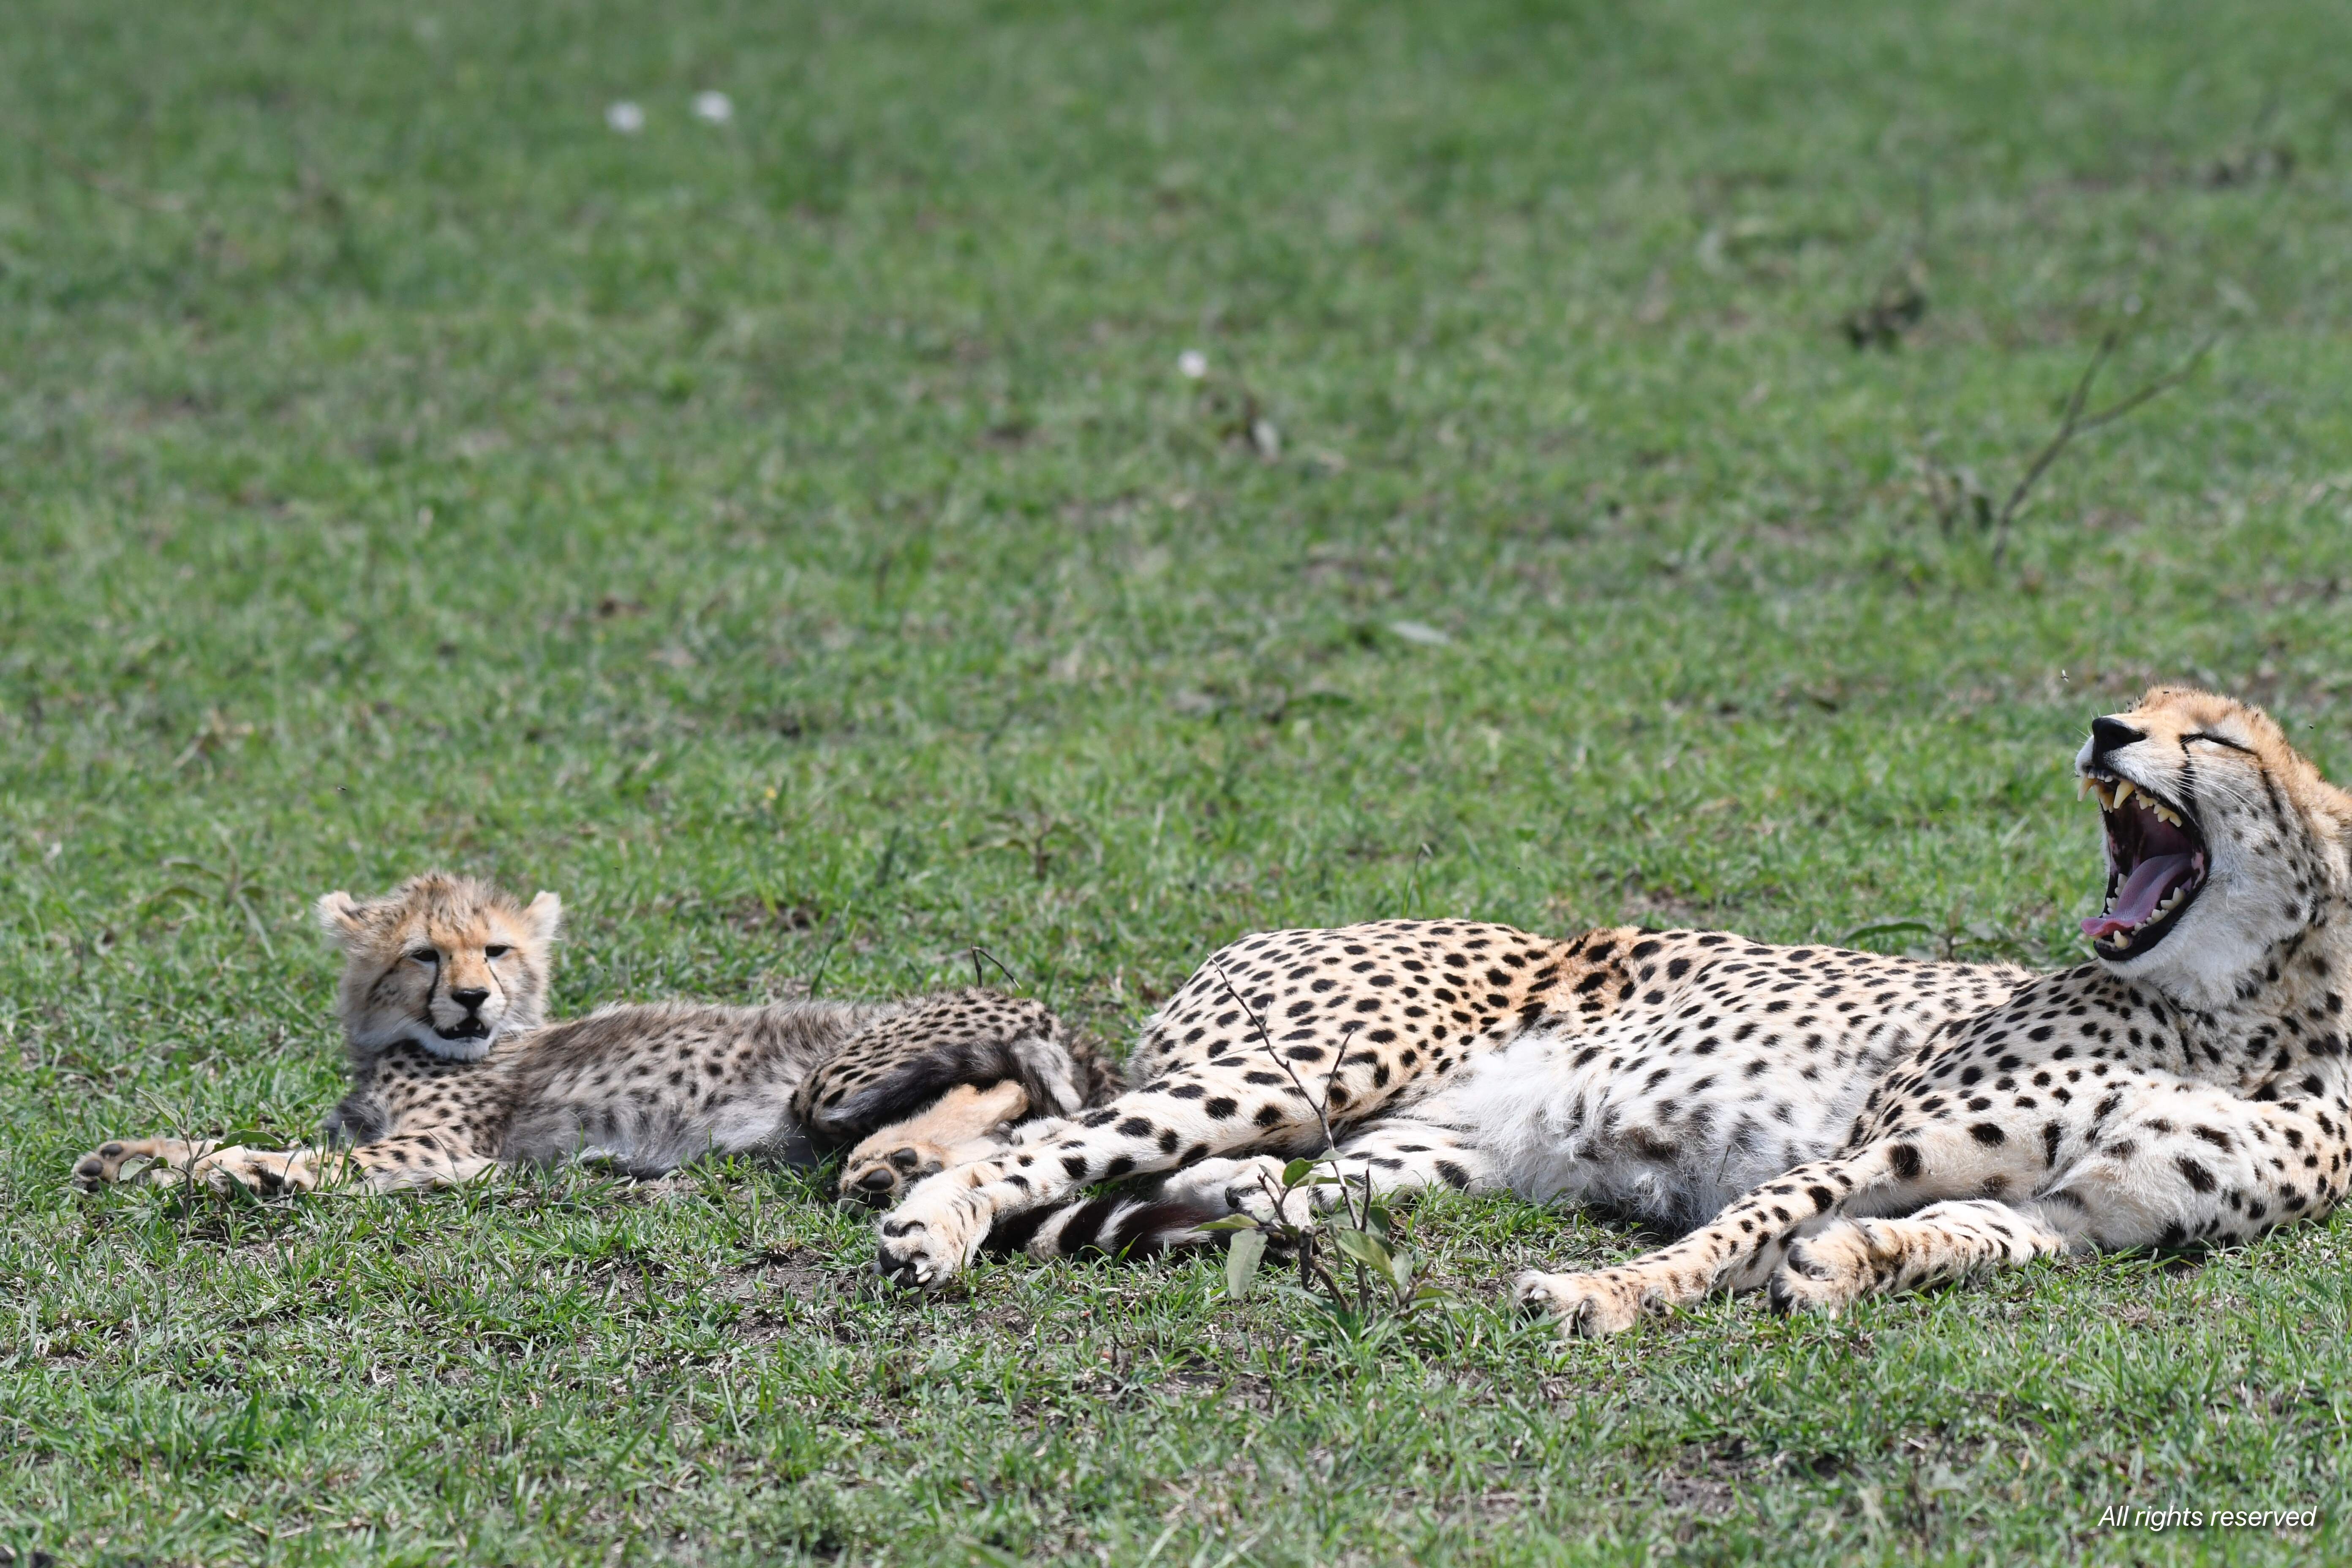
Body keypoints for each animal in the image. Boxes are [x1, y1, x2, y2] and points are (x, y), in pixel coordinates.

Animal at [72, 872, 1116, 1205]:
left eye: (494, 949)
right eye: (423, 954)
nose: (473, 1001)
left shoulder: (442, 1145)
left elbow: (310, 1158)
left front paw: (246, 1170)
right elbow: (211, 1136)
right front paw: (131, 1155)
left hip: (832, 1073)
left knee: (1007, 1082)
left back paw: (892, 1157)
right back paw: (897, 1161)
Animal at [869, 686, 2352, 1333]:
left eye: (2211, 735)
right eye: (2144, 707)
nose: (2106, 729)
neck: (2235, 1015)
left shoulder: (2074, 1215)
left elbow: (1957, 1241)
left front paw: (1848, 1266)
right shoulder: (1884, 1135)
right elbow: (1743, 1223)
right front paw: (1610, 1291)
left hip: (1392, 1159)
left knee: (1220, 1188)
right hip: (1291, 1073)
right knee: (1044, 1148)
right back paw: (925, 1219)